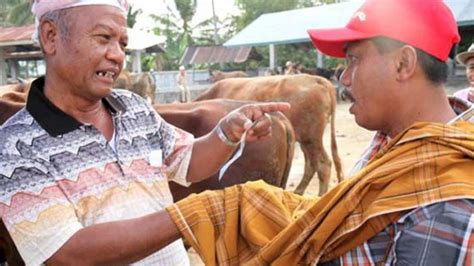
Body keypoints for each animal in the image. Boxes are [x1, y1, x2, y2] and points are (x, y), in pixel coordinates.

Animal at [194, 74, 342, 194]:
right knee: (312, 164)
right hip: (305, 139)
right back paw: (298, 192)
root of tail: (316, 79)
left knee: (322, 164)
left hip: (310, 138)